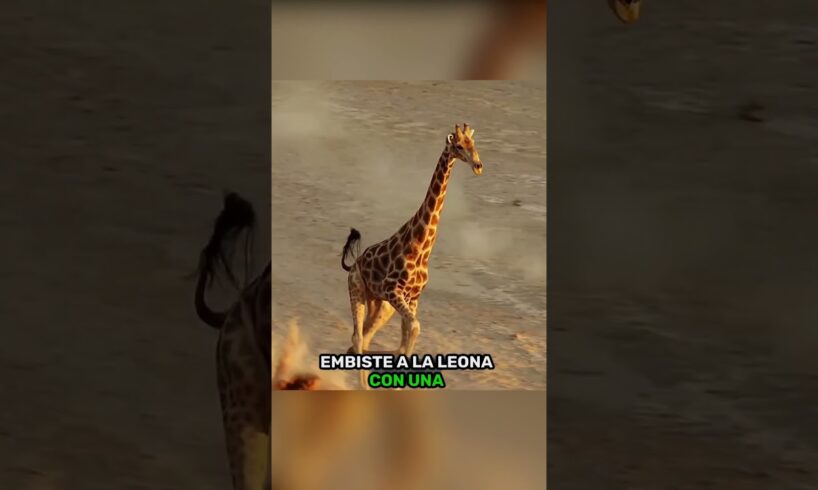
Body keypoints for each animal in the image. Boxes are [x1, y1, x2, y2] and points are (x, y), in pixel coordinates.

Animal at [340, 124, 483, 387]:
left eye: (473, 144)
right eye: (459, 146)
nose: (478, 166)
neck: (421, 248)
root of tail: (353, 264)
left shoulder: (413, 298)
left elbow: (406, 339)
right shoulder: (393, 290)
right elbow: (413, 329)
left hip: (381, 306)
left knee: (364, 338)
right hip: (357, 290)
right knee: (358, 339)